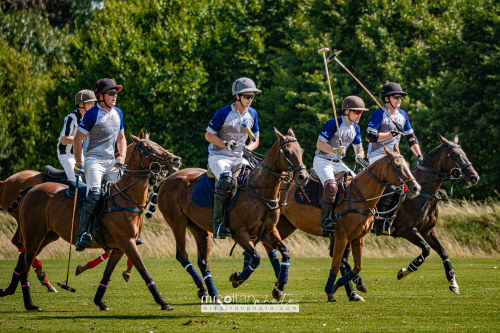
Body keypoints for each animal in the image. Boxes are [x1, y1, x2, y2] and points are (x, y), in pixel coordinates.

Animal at [0, 130, 183, 312]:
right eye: (148, 148)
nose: (176, 159)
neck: (125, 198)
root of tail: (30, 189)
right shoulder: (126, 241)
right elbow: (144, 270)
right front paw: (163, 302)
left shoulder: (119, 247)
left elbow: (107, 274)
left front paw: (99, 301)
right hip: (34, 234)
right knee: (24, 261)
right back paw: (30, 303)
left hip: (47, 235)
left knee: (22, 258)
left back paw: (11, 290)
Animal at [156, 127, 308, 300]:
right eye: (287, 152)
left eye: (301, 151)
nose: (303, 177)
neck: (258, 190)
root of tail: (166, 180)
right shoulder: (238, 232)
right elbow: (256, 258)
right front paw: (237, 278)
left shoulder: (267, 231)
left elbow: (285, 252)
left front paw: (279, 288)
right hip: (177, 222)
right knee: (182, 255)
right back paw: (203, 287)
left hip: (198, 227)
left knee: (203, 261)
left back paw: (204, 289)